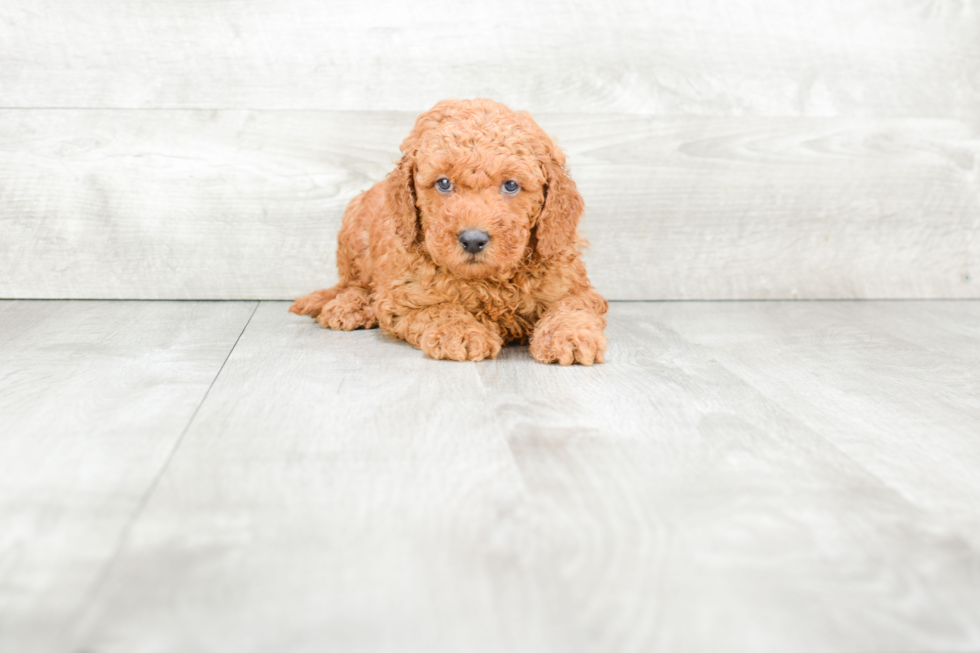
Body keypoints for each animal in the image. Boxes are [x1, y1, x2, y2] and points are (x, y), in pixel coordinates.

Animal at [290, 97, 604, 364]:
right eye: (443, 183)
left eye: (511, 185)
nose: (473, 240)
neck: (488, 283)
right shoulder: (403, 297)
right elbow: (438, 309)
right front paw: (462, 333)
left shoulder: (573, 284)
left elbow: (572, 306)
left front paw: (571, 336)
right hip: (354, 229)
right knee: (353, 283)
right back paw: (349, 307)